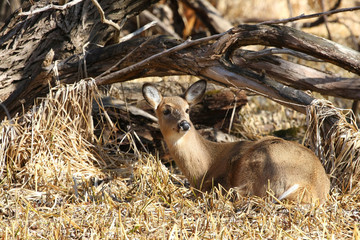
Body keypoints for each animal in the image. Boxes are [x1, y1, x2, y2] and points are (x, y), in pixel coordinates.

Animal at [142, 80, 330, 202]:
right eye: (166, 110)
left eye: (187, 109)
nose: (185, 124)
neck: (204, 165)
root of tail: (308, 184)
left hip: (258, 164)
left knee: (239, 193)